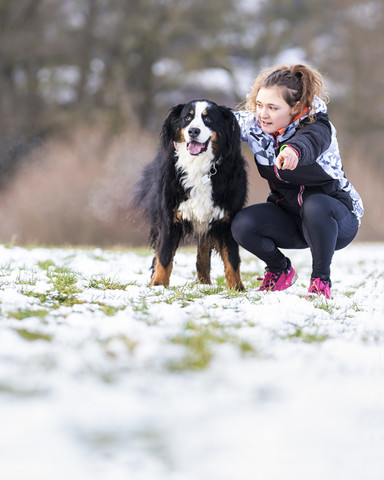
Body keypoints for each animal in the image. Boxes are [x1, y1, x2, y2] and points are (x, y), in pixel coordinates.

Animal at [134, 98, 248, 288]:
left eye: (208, 119)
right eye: (187, 117)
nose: (193, 131)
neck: (199, 167)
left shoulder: (226, 218)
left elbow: (232, 258)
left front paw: (237, 288)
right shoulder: (169, 217)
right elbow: (164, 256)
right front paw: (158, 285)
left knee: (203, 251)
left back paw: (204, 282)